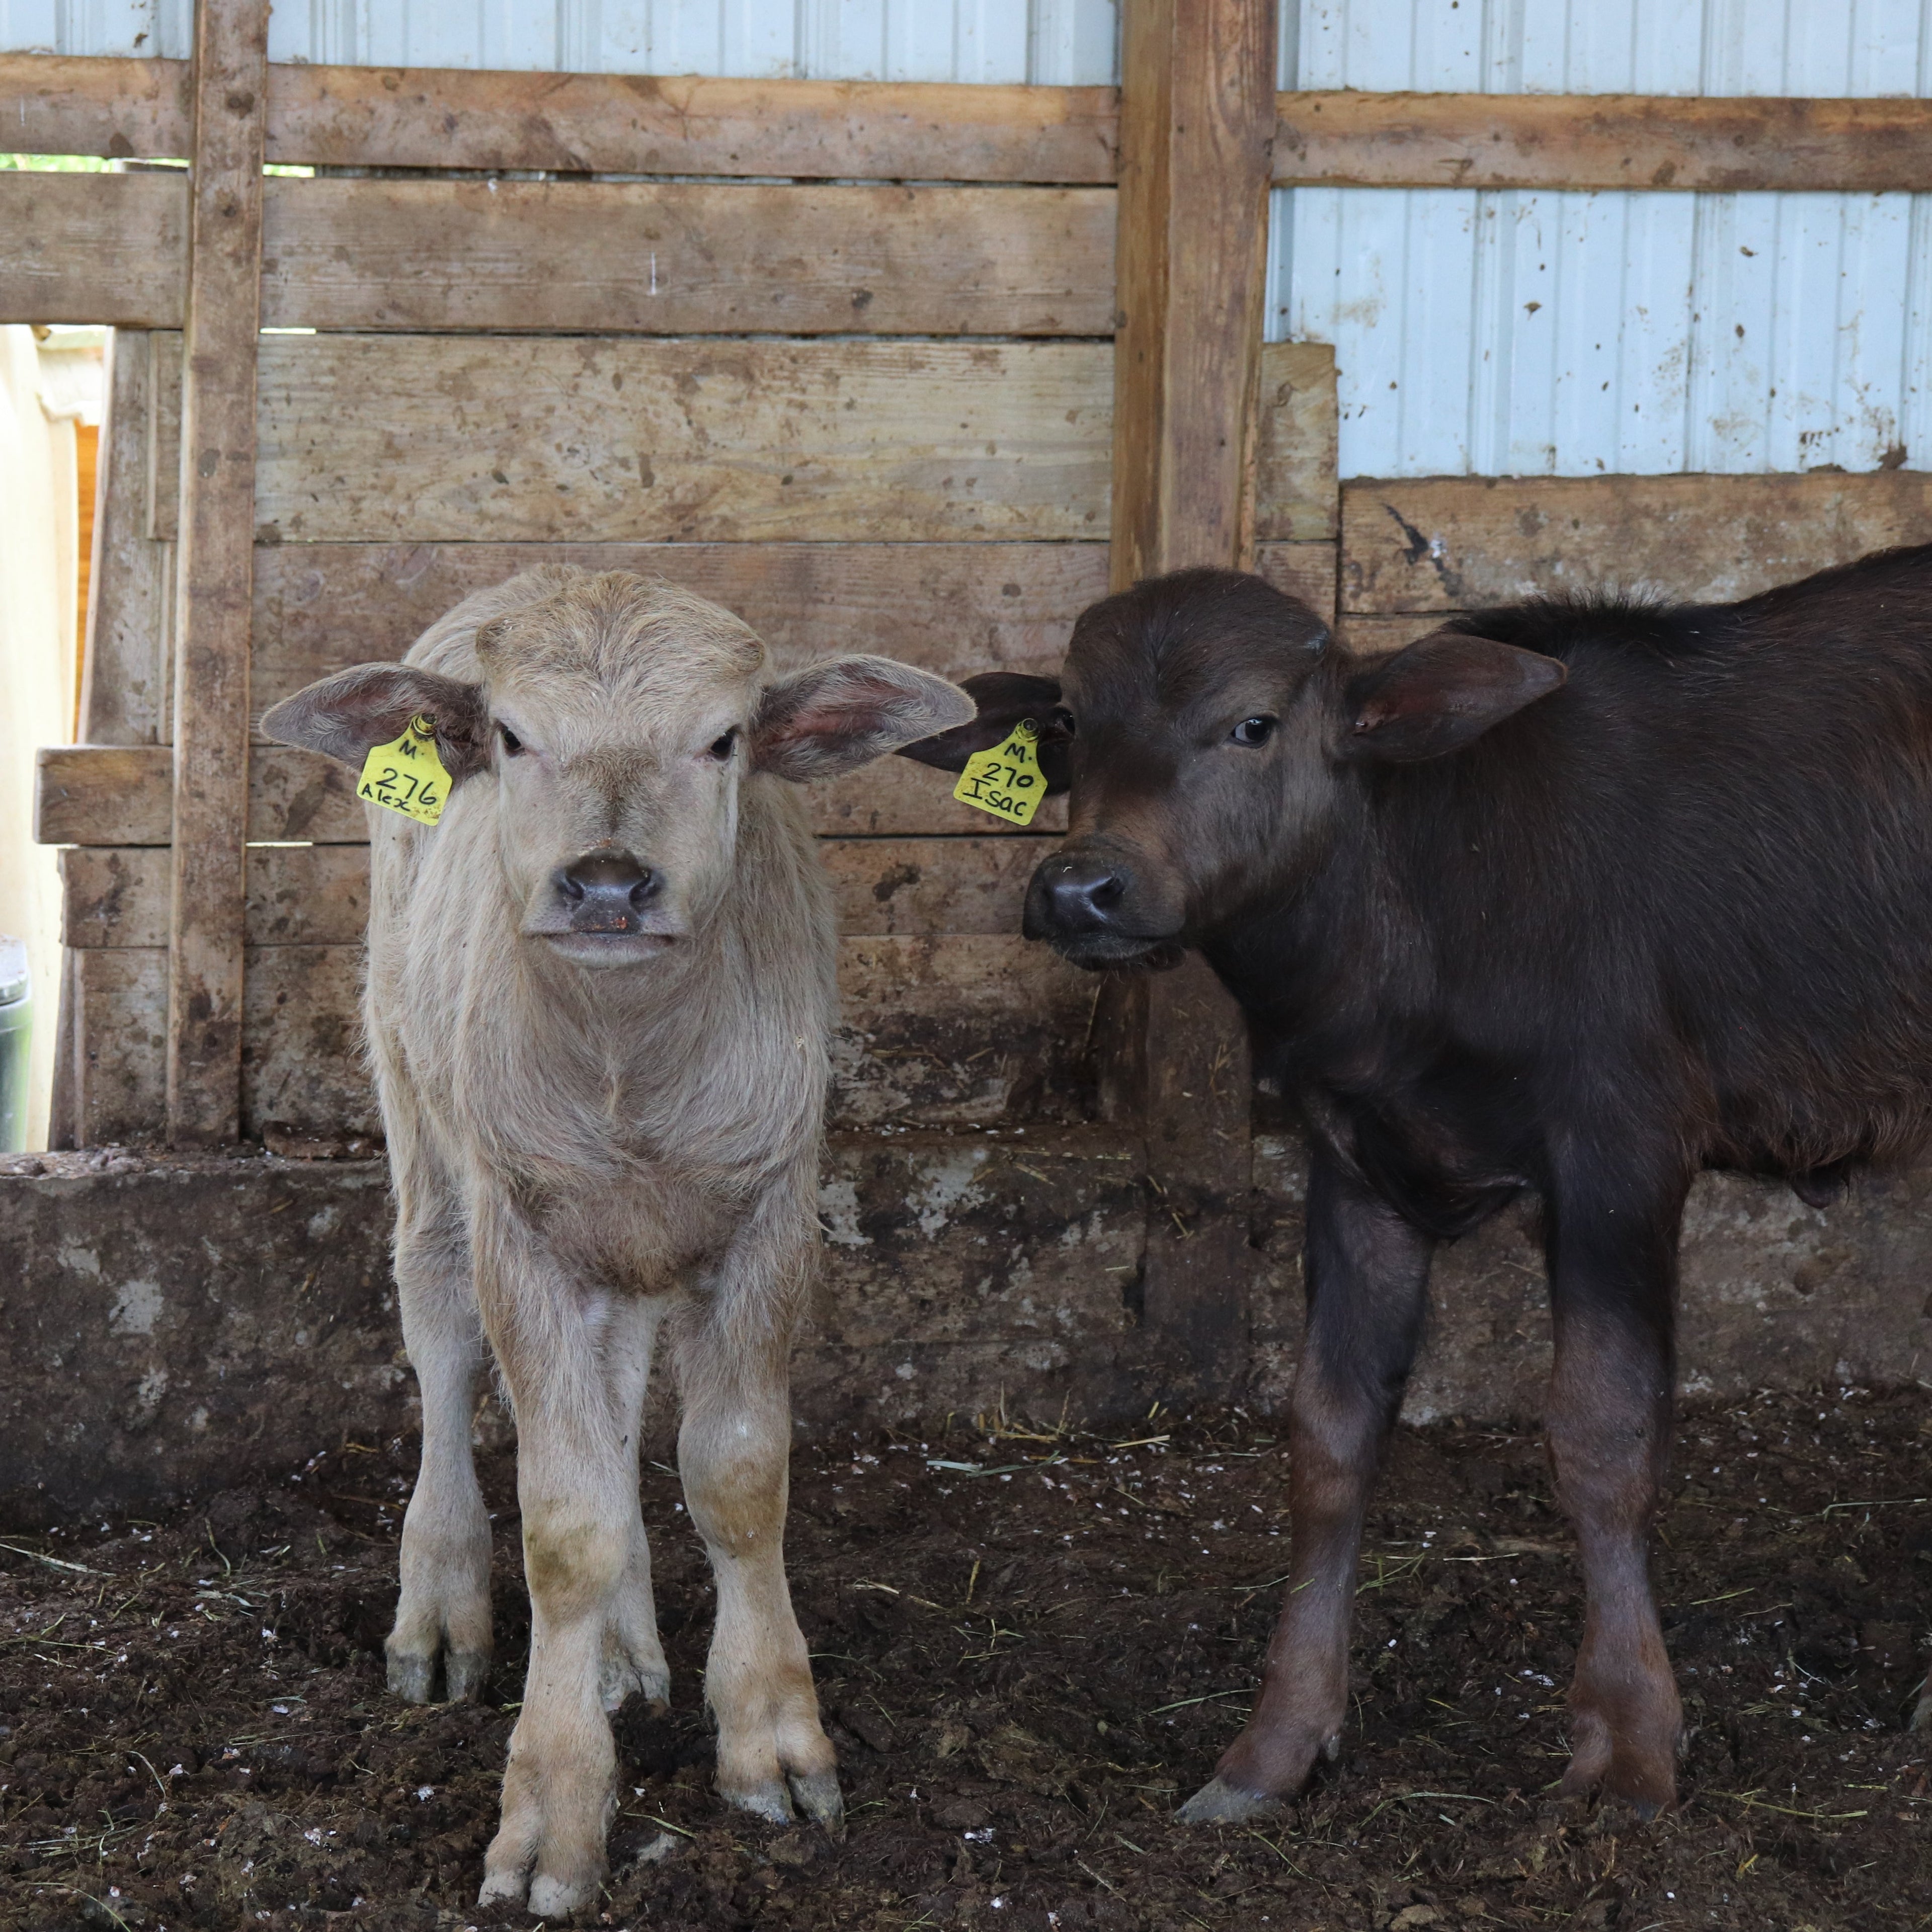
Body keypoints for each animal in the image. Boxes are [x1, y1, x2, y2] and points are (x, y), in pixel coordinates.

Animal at [261, 566, 973, 1911]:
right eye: (509, 734)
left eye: (725, 737)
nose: (605, 883)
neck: (627, 1063)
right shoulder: (527, 1231)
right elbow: (563, 1525)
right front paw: (551, 1811)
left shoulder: (769, 1212)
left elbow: (735, 1479)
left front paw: (773, 1742)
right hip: (417, 1105)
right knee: (439, 1328)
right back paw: (442, 1611)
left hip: (627, 1238)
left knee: (625, 1377)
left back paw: (624, 1653)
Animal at [900, 547, 1932, 1824]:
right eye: (1070, 724)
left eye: (1252, 724)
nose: (1082, 888)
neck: (1415, 913)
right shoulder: (1353, 1162)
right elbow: (1328, 1438)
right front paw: (1272, 1745)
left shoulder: (1620, 1150)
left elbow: (1603, 1430)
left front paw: (1630, 1744)